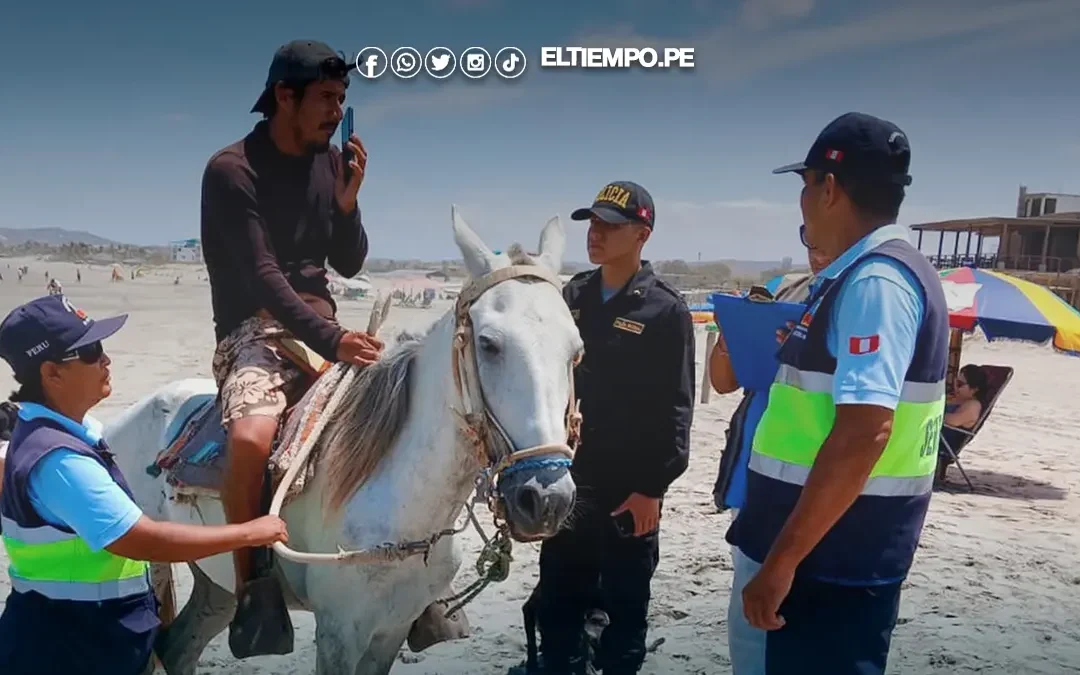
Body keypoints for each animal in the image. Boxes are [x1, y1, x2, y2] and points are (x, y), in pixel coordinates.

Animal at [103, 207, 584, 674]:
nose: (545, 498)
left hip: (215, 583)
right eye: (488, 344)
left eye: (576, 350)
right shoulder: (340, 632)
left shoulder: (391, 629)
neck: (400, 505)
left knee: (179, 648)